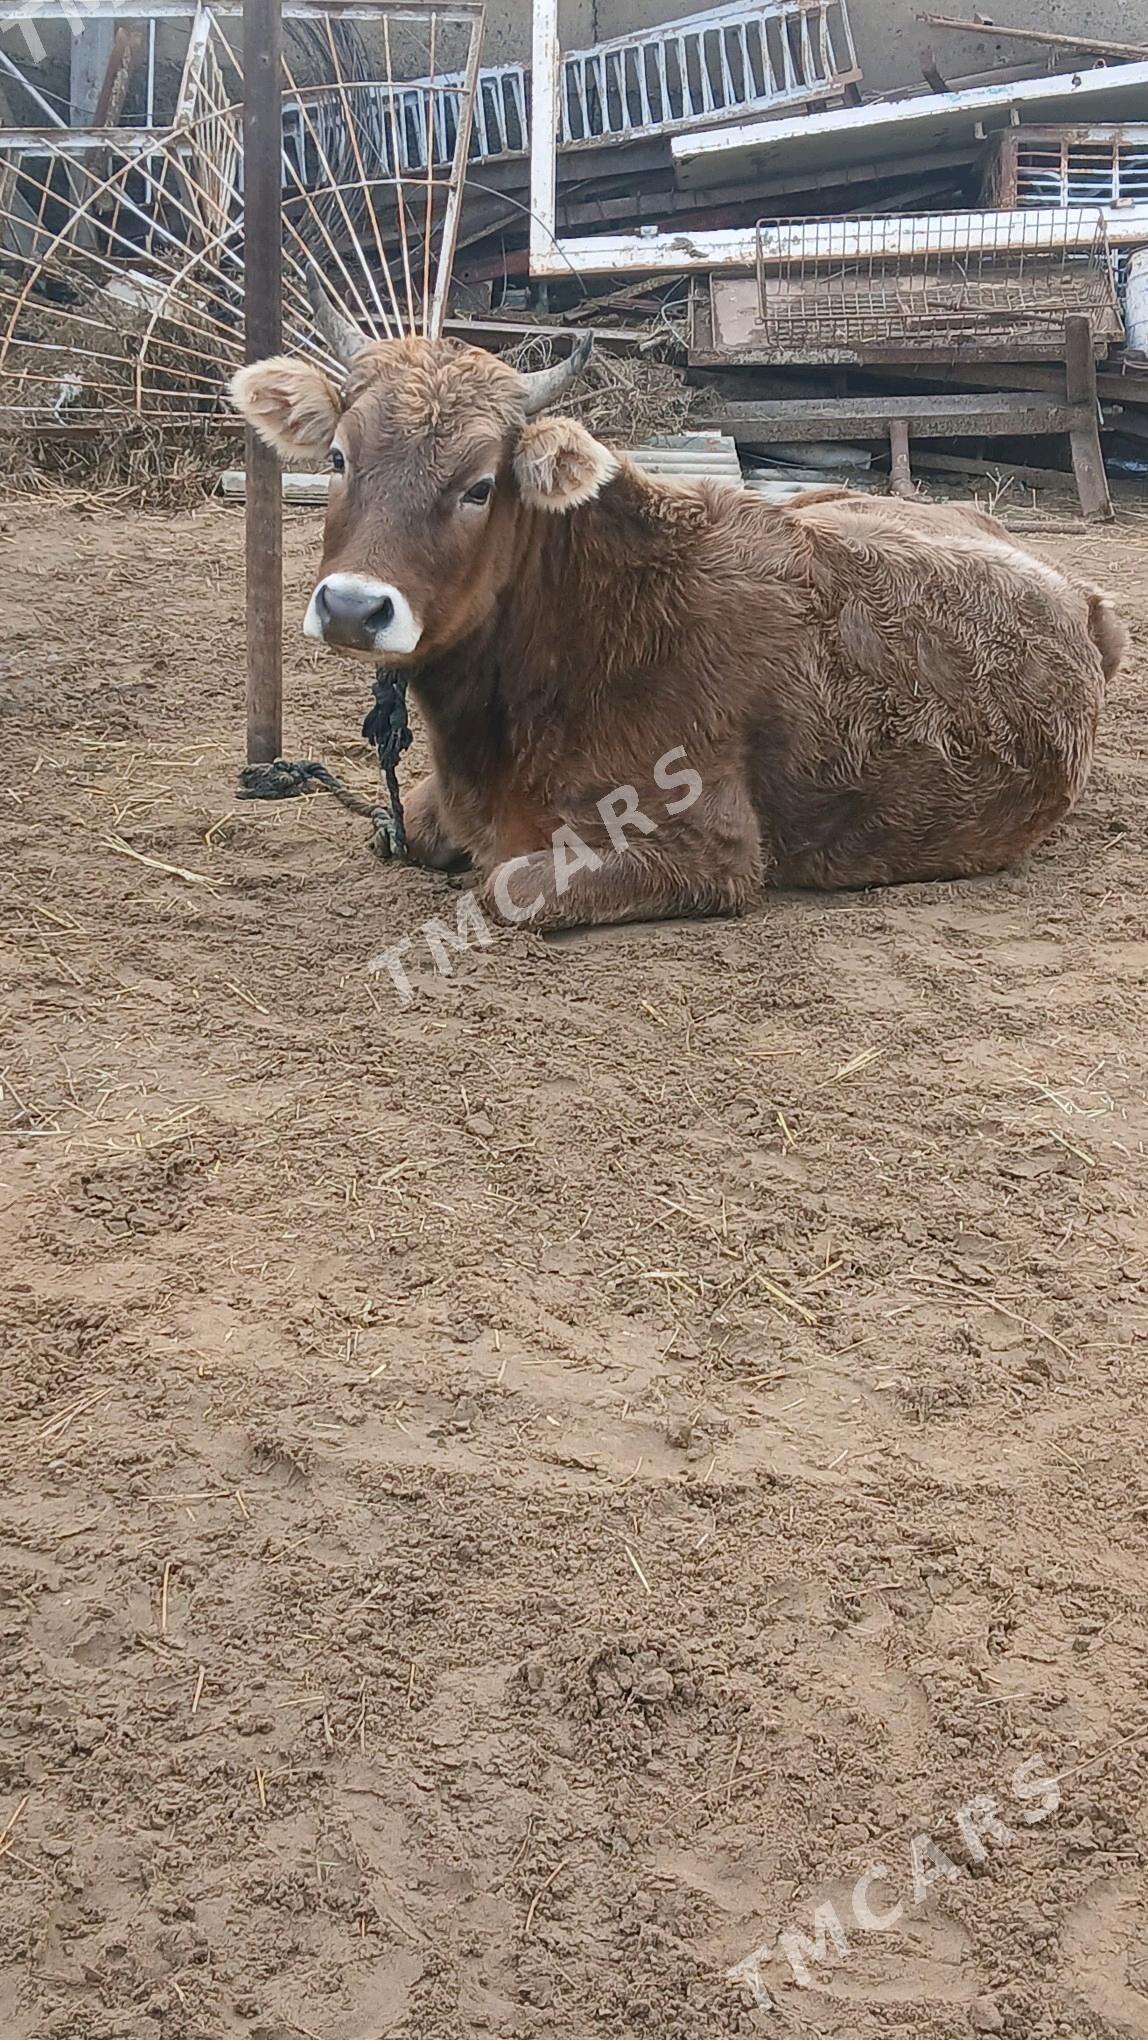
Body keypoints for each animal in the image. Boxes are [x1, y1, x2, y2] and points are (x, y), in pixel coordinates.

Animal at [229, 297, 1125, 934]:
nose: (354, 607)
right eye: (338, 457)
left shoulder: (709, 848)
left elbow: (505, 886)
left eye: (479, 486)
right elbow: (402, 826)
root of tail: (1083, 596)